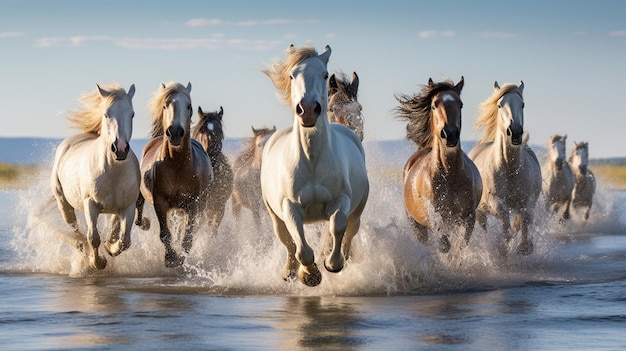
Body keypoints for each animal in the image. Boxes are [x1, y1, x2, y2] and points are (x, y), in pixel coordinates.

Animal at [51, 84, 139, 270]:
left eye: (132, 114)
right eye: (106, 114)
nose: (120, 149)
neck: (112, 172)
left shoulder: (128, 207)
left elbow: (124, 241)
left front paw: (110, 248)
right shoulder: (90, 205)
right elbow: (94, 238)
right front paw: (98, 262)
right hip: (64, 205)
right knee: (77, 230)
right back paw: (84, 250)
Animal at [134, 82, 212, 268]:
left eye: (189, 106)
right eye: (165, 105)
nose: (175, 132)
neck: (178, 166)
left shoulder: (192, 205)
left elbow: (187, 237)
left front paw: (181, 259)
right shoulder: (160, 202)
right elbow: (165, 233)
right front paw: (170, 258)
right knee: (139, 208)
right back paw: (143, 223)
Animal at [260, 44, 368, 288]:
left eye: (324, 74)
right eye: (292, 75)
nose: (308, 109)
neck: (312, 160)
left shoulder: (341, 200)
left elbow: (337, 226)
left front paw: (332, 263)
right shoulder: (289, 208)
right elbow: (302, 249)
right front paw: (309, 275)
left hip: (357, 211)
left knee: (349, 232)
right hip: (274, 216)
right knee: (288, 242)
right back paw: (289, 271)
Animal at [468, 80, 540, 256]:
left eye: (522, 104)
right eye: (500, 105)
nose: (515, 132)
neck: (509, 167)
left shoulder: (528, 200)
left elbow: (526, 215)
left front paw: (525, 246)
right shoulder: (494, 201)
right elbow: (503, 213)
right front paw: (505, 243)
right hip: (480, 211)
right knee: (485, 227)